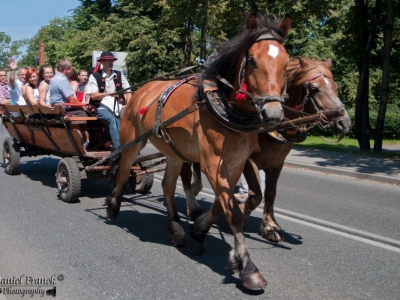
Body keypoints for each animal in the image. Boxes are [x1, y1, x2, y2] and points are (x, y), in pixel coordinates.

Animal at [104, 12, 292, 290]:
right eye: (252, 60)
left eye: (286, 63)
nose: (273, 114)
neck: (226, 108)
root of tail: (141, 90)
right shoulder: (211, 163)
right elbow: (233, 212)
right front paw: (248, 267)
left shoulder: (236, 164)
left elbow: (222, 206)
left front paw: (198, 233)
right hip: (131, 141)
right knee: (123, 171)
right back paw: (113, 206)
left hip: (173, 152)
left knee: (168, 185)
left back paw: (176, 228)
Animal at [184, 56, 350, 243]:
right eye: (314, 89)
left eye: (335, 87)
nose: (344, 122)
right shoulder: (247, 160)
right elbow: (256, 194)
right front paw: (241, 210)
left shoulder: (276, 163)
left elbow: (270, 194)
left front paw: (270, 226)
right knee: (185, 173)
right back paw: (192, 204)